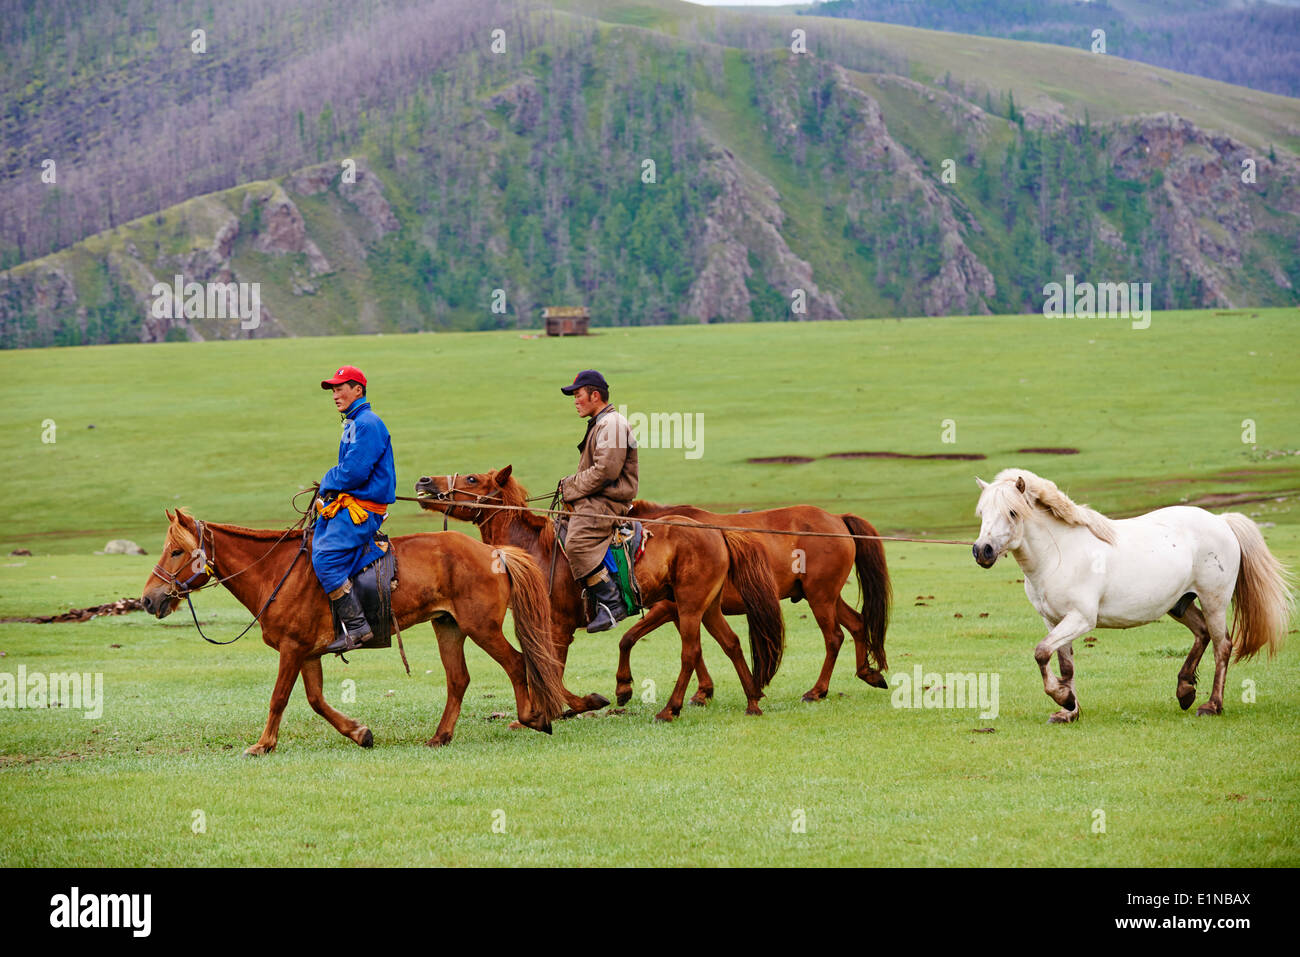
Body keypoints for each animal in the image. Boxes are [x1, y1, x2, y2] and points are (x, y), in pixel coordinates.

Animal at [142, 512, 569, 748]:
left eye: (177, 551)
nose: (148, 599)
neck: (275, 572)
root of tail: (494, 552)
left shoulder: (292, 649)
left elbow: (279, 698)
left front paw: (262, 745)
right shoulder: (308, 652)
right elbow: (315, 700)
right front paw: (360, 733)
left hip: (482, 627)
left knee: (516, 663)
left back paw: (533, 717)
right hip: (448, 626)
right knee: (458, 679)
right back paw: (440, 736)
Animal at [410, 468, 785, 722]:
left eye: (472, 478)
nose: (424, 481)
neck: (535, 550)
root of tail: (717, 532)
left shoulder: (558, 627)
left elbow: (550, 667)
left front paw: (560, 709)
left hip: (690, 605)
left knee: (690, 652)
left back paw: (670, 709)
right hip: (707, 606)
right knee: (731, 642)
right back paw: (753, 702)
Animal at [621, 501, 889, 702]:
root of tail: (836, 518)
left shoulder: (671, 608)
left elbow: (630, 638)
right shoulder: (685, 611)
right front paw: (705, 691)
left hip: (820, 598)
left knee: (834, 638)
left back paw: (817, 691)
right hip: (826, 597)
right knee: (857, 624)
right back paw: (867, 673)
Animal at [977, 468, 1289, 722]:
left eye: (1012, 512)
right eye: (981, 514)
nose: (982, 551)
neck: (1059, 553)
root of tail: (1221, 521)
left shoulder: (1080, 619)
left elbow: (1041, 652)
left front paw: (1063, 698)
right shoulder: (1054, 620)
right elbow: (1065, 666)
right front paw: (1069, 710)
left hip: (1214, 602)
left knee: (1222, 645)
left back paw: (1211, 706)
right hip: (1179, 604)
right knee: (1202, 633)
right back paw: (1185, 690)